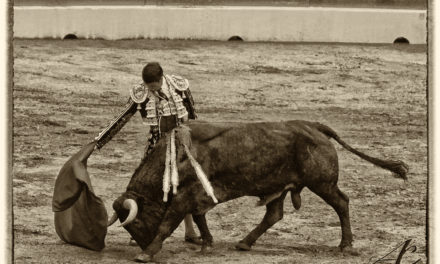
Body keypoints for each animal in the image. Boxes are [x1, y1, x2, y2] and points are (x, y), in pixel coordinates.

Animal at [108, 119, 408, 262]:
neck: (172, 159)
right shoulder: (199, 196)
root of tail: (314, 126)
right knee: (274, 214)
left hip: (322, 183)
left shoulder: (184, 197)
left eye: (136, 224)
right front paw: (207, 243)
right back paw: (244, 242)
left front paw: (147, 253)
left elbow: (168, 222)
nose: (141, 243)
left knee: (342, 203)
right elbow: (201, 218)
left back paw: (346, 245)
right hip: (281, 186)